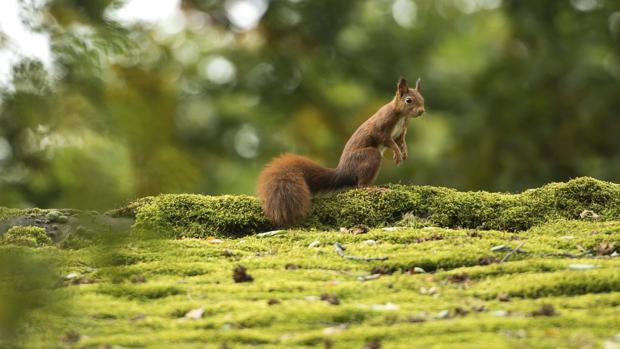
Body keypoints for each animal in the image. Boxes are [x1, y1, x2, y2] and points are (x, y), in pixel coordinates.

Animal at [256, 77, 426, 226]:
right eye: (409, 100)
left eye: (422, 98)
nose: (422, 111)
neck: (401, 116)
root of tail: (344, 170)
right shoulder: (382, 128)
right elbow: (388, 141)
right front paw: (397, 154)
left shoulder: (401, 132)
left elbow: (401, 142)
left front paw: (404, 152)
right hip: (369, 156)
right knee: (360, 185)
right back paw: (375, 188)